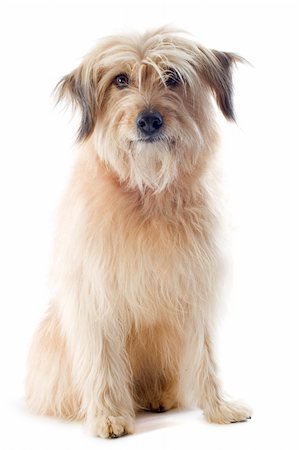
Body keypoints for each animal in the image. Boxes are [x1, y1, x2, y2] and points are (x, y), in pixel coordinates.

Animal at [25, 26, 251, 438]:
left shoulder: (196, 291)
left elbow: (204, 355)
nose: (148, 120)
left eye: (172, 77)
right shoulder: (95, 295)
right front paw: (109, 417)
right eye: (120, 80)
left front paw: (219, 408)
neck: (149, 193)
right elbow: (101, 360)